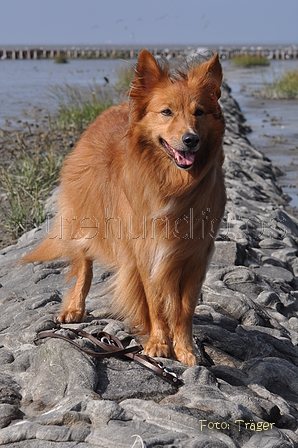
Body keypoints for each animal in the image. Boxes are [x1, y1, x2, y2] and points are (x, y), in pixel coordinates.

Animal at [22, 50, 226, 366]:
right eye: (166, 112)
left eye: (199, 112)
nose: (190, 139)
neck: (172, 183)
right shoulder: (146, 251)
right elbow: (154, 302)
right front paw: (158, 343)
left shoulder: (196, 255)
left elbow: (184, 308)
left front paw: (185, 349)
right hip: (85, 217)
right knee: (84, 264)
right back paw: (75, 308)